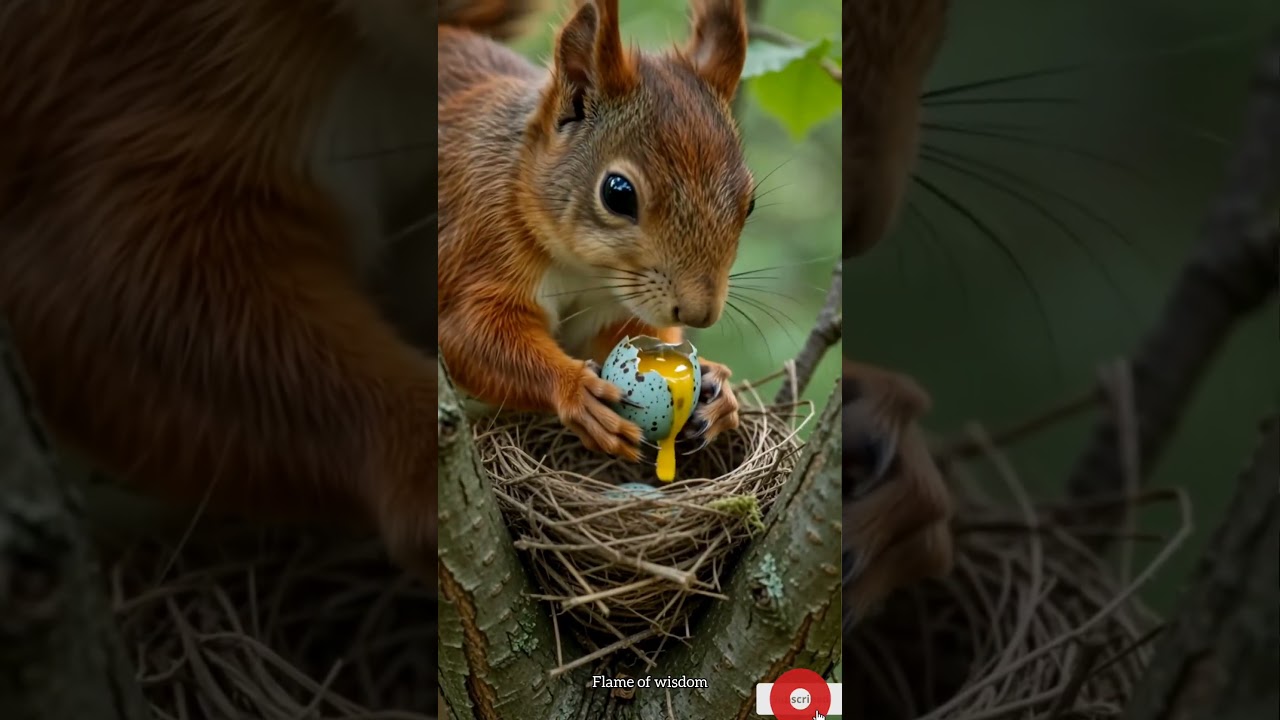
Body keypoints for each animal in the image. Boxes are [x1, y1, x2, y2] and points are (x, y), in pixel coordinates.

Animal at [437, 0, 750, 462]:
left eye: (750, 202)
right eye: (617, 193)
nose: (699, 314)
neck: (587, 271)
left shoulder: (614, 310)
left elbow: (625, 340)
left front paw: (716, 387)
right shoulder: (478, 240)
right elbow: (468, 334)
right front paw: (576, 389)